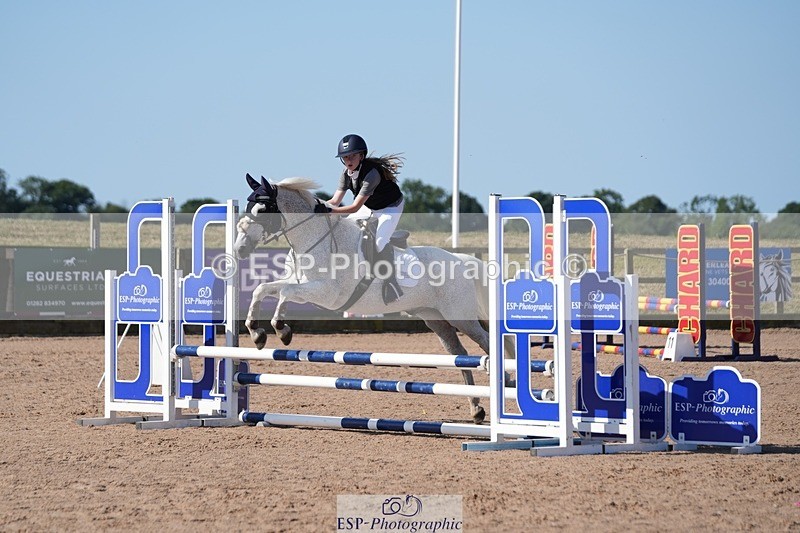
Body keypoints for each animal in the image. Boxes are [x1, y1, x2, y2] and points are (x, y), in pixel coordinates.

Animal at [234, 174, 491, 423]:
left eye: (262, 210)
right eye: (247, 207)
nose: (239, 250)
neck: (314, 240)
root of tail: (462, 260)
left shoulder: (325, 293)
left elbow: (285, 293)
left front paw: (282, 330)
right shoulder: (301, 285)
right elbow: (262, 289)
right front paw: (256, 333)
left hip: (460, 318)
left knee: (485, 342)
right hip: (435, 319)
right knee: (460, 353)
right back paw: (476, 409)